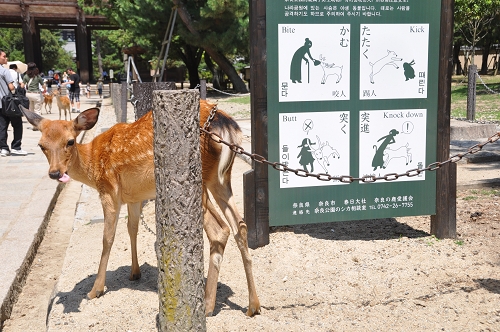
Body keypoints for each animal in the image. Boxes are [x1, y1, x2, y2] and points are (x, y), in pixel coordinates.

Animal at [19, 100, 262, 316]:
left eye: (70, 141)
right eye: (41, 145)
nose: (55, 173)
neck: (92, 164)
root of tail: (225, 123)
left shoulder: (109, 190)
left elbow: (108, 237)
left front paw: (95, 289)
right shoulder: (134, 197)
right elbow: (132, 228)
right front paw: (135, 273)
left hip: (197, 180)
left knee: (220, 230)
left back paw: (209, 305)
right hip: (220, 179)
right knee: (239, 225)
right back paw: (253, 306)